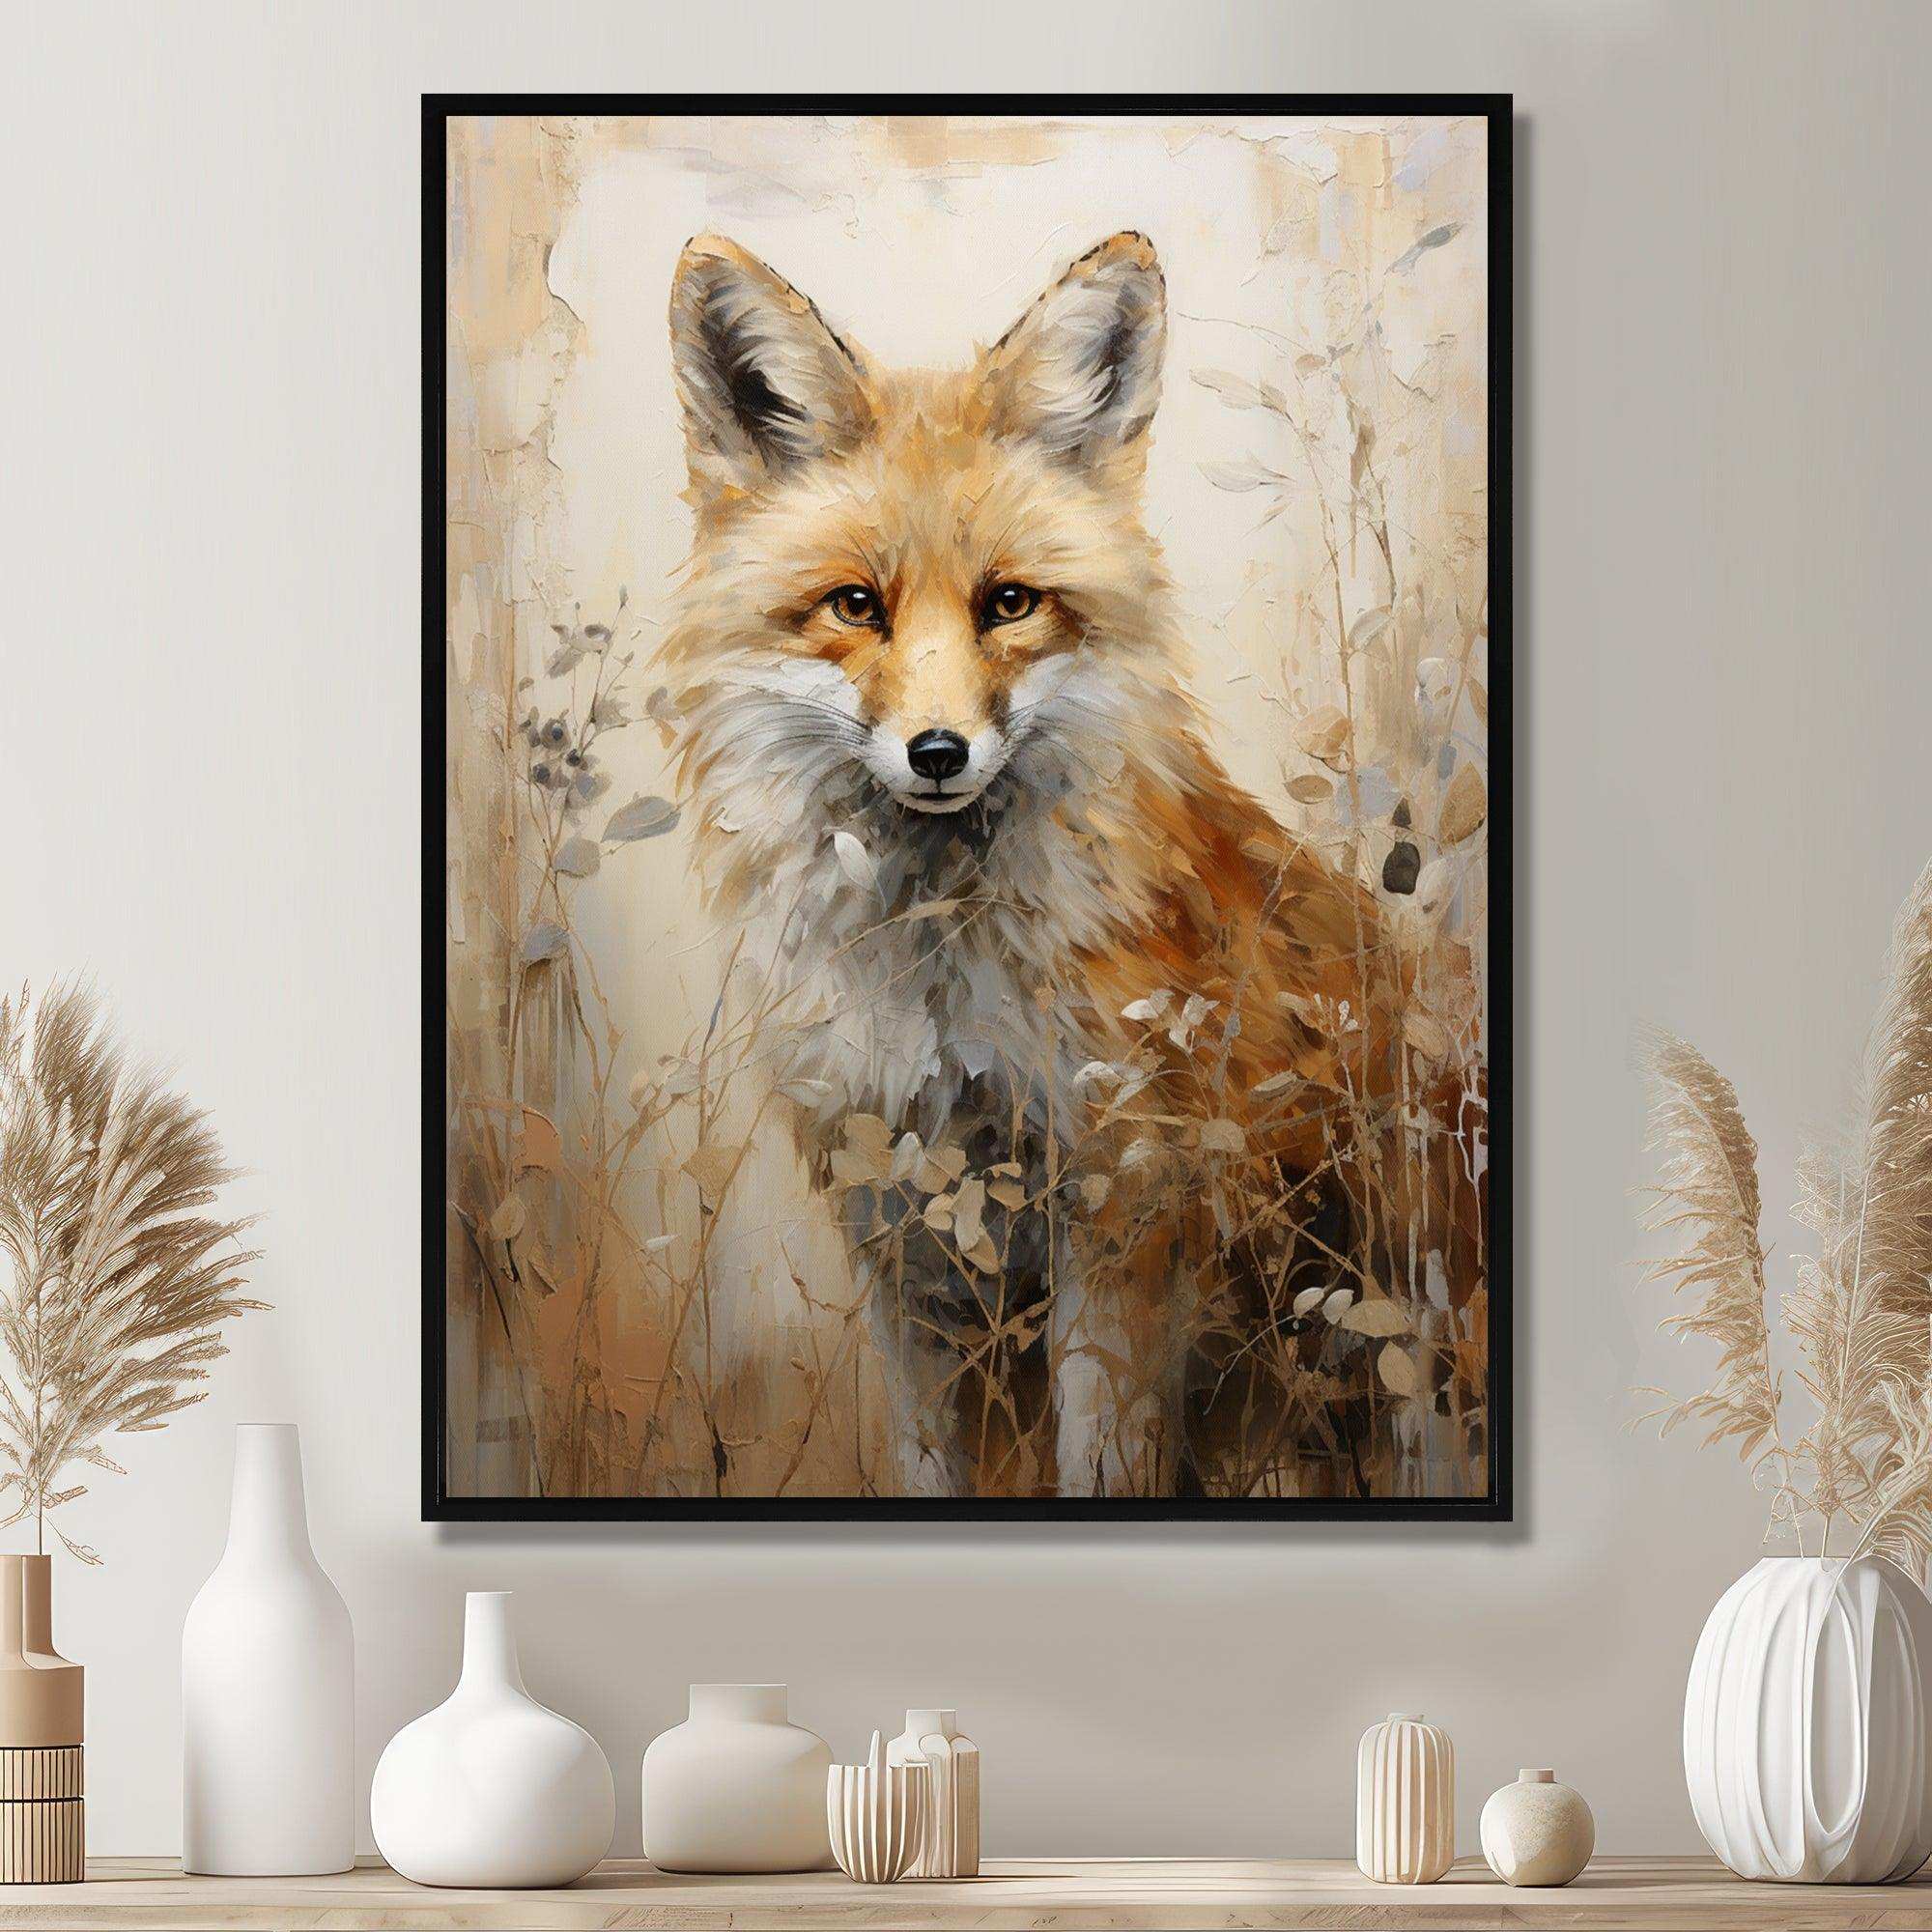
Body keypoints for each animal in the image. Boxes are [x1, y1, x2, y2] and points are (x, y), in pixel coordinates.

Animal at [660, 230, 1412, 1499]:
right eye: (854, 605)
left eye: (1008, 602)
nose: (937, 751)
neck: (940, 986)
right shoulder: (900, 1232)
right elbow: (927, 1465)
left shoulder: (1121, 1214)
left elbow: (1098, 1460)